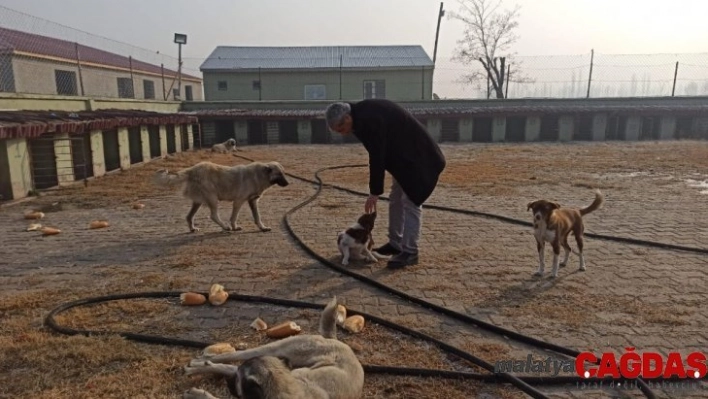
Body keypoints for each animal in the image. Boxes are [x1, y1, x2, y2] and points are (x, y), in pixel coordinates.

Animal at [152, 161, 288, 233]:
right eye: (279, 174)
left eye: (284, 173)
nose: (288, 183)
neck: (260, 174)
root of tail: (192, 170)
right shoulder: (238, 201)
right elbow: (234, 217)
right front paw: (234, 227)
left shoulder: (253, 201)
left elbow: (257, 217)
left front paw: (262, 228)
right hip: (213, 199)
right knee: (213, 215)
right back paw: (225, 227)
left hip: (198, 202)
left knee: (189, 216)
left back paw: (192, 229)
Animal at [183, 296, 362, 399]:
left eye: (239, 382)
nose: (228, 382)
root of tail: (335, 340)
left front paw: (199, 394)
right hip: (280, 348)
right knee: (232, 357)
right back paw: (199, 363)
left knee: (227, 366)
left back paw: (199, 365)